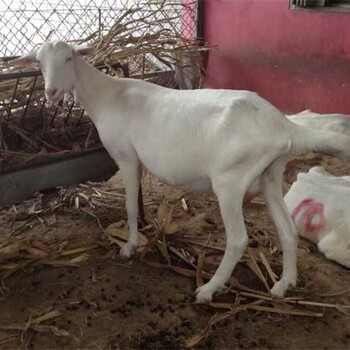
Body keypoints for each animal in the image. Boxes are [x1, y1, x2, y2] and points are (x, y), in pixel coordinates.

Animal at [10, 41, 350, 304]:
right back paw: (283, 284)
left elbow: (129, 206)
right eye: (39, 62)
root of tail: (284, 126)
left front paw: (129, 247)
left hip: (230, 181)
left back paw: (209, 289)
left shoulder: (126, 157)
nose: (51, 92)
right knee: (288, 230)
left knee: (238, 239)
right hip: (270, 175)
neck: (107, 95)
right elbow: (138, 205)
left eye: (69, 58)